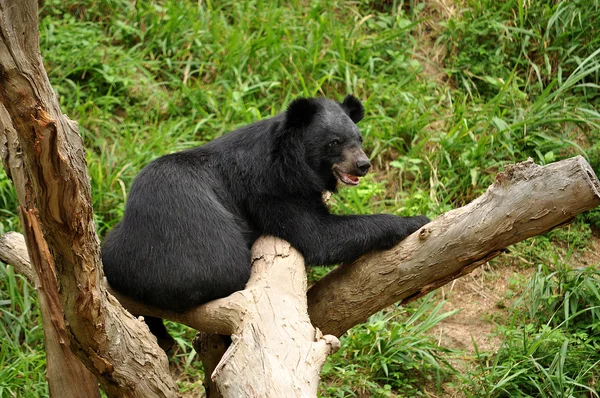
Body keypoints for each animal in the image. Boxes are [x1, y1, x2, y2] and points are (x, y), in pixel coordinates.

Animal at [104, 94, 432, 346]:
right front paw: (414, 220)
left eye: (360, 139)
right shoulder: (271, 187)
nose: (363, 165)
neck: (295, 160)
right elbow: (317, 234)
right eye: (335, 142)